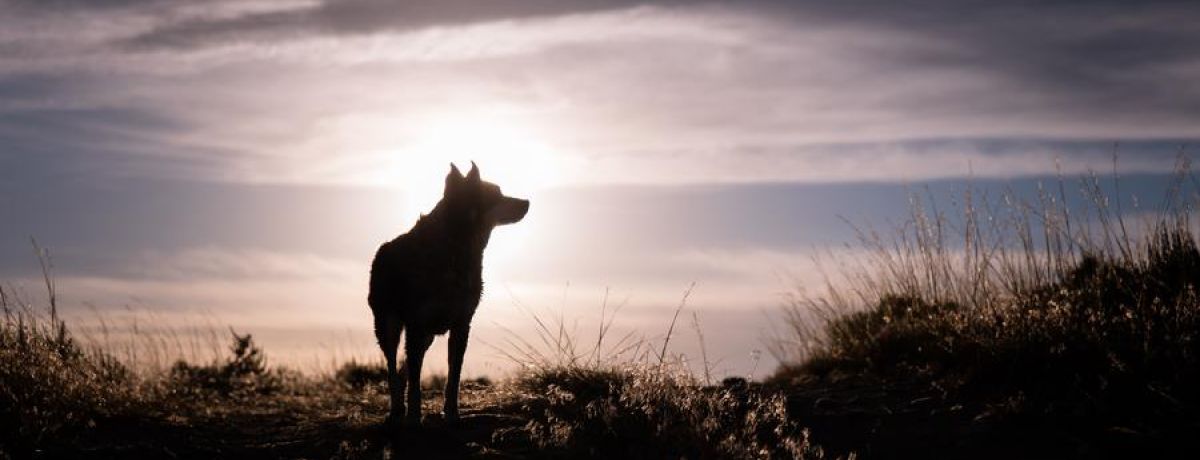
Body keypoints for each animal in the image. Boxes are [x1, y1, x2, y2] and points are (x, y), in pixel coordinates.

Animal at [368, 162, 529, 427]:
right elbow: (415, 382)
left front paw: (452, 414)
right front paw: (414, 417)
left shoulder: (461, 324)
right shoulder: (415, 324)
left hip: (427, 336)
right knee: (393, 367)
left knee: (404, 367)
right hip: (389, 327)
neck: (455, 249)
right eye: (497, 194)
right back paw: (396, 410)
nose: (527, 202)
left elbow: (453, 377)